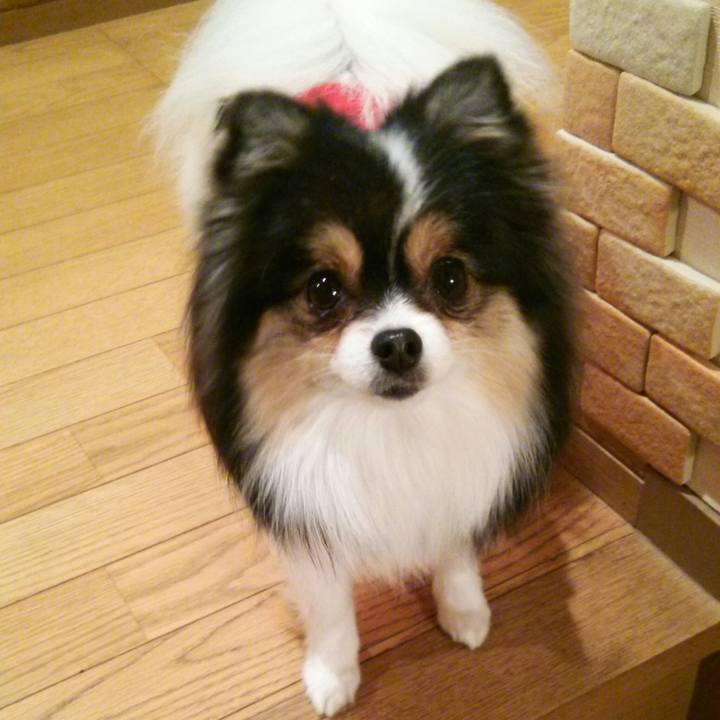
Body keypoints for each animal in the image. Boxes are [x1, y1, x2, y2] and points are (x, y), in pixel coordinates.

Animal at [154, 0, 574, 715]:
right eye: (323, 290)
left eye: (451, 278)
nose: (398, 341)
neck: (392, 432)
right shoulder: (302, 510)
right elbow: (330, 608)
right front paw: (332, 674)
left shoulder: (463, 478)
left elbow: (455, 552)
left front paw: (464, 611)